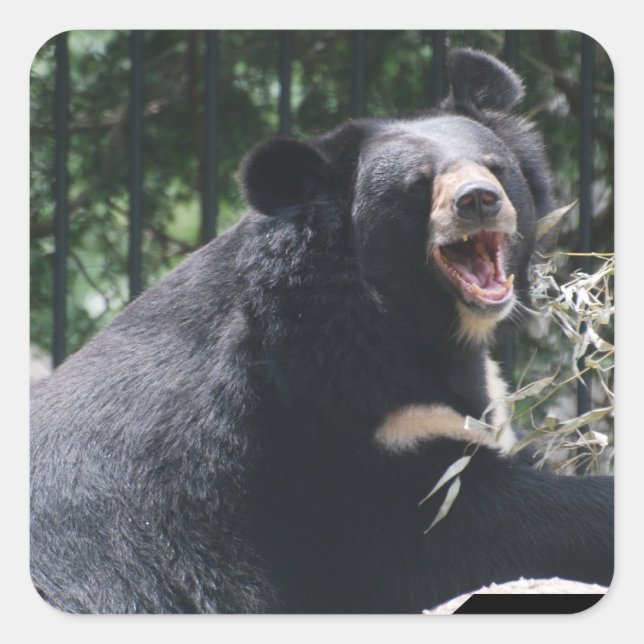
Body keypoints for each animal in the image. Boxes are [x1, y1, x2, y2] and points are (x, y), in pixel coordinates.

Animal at [30, 48, 613, 614]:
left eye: (497, 167)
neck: (411, 321)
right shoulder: (338, 437)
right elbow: (450, 536)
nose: (477, 199)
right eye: (418, 185)